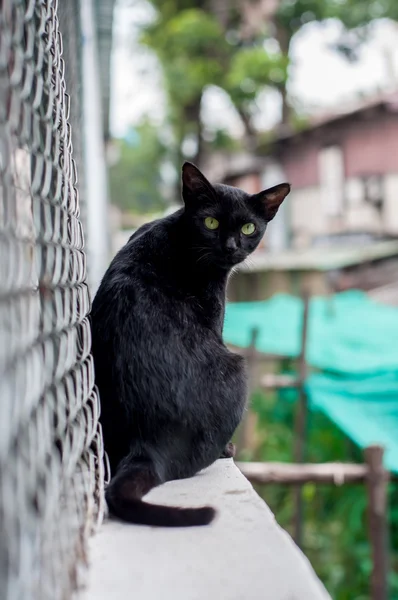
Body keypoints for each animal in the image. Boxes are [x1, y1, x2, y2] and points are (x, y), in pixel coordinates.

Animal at [90, 162, 290, 528]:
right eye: (211, 222)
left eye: (248, 227)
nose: (231, 246)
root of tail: (146, 444)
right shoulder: (215, 316)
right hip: (236, 371)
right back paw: (225, 450)